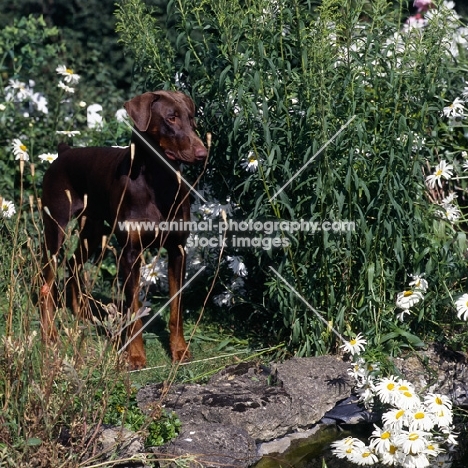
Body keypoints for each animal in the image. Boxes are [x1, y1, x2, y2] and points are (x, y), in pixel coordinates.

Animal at [40, 90, 208, 370]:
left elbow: (176, 306)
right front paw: (136, 356)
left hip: (94, 232)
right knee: (47, 283)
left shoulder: (178, 250)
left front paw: (179, 350)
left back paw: (83, 313)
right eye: (171, 118)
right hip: (56, 229)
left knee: (74, 263)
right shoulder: (130, 254)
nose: (203, 153)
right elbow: (134, 310)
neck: (158, 181)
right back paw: (50, 333)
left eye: (191, 117)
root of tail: (63, 153)